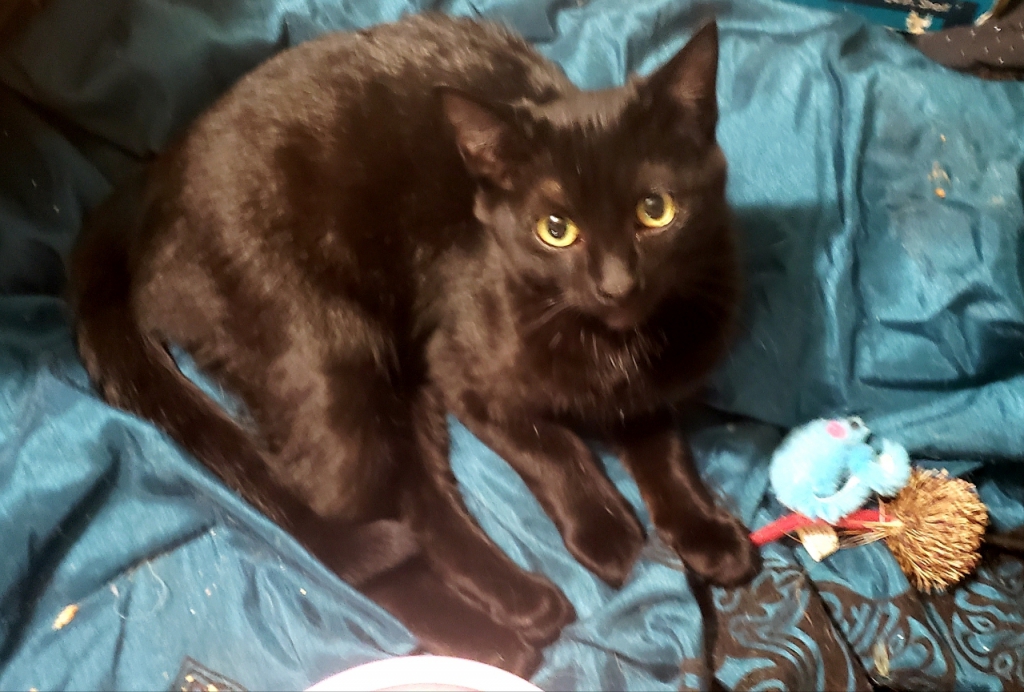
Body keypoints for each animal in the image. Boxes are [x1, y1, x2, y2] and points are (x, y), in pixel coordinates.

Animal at [70, 13, 760, 676]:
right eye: (555, 229)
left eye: (655, 209)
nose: (617, 283)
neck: (611, 341)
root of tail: (153, 181)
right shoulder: (461, 372)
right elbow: (552, 446)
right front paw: (607, 530)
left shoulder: (654, 380)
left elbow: (662, 446)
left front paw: (704, 530)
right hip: (336, 361)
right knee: (342, 522)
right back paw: (495, 635)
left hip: (401, 377)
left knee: (421, 496)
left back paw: (516, 608)